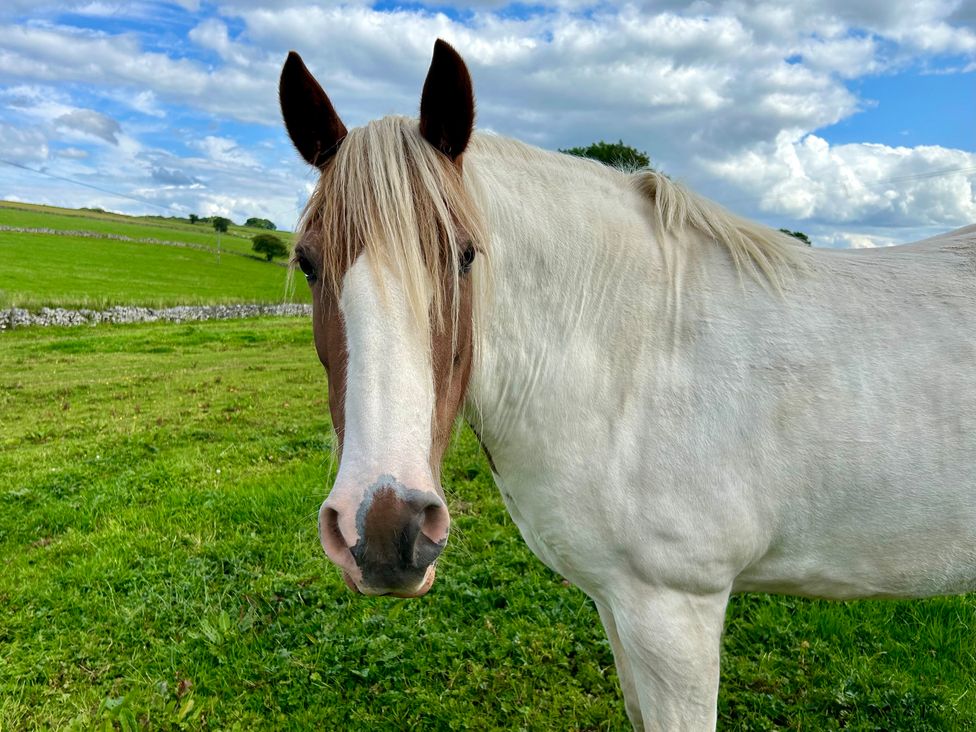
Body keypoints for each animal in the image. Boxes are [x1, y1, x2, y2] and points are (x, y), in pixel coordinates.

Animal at [276, 41, 976, 732]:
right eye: (308, 262)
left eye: (466, 254)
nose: (383, 530)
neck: (636, 358)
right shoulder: (620, 602)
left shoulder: (675, 612)